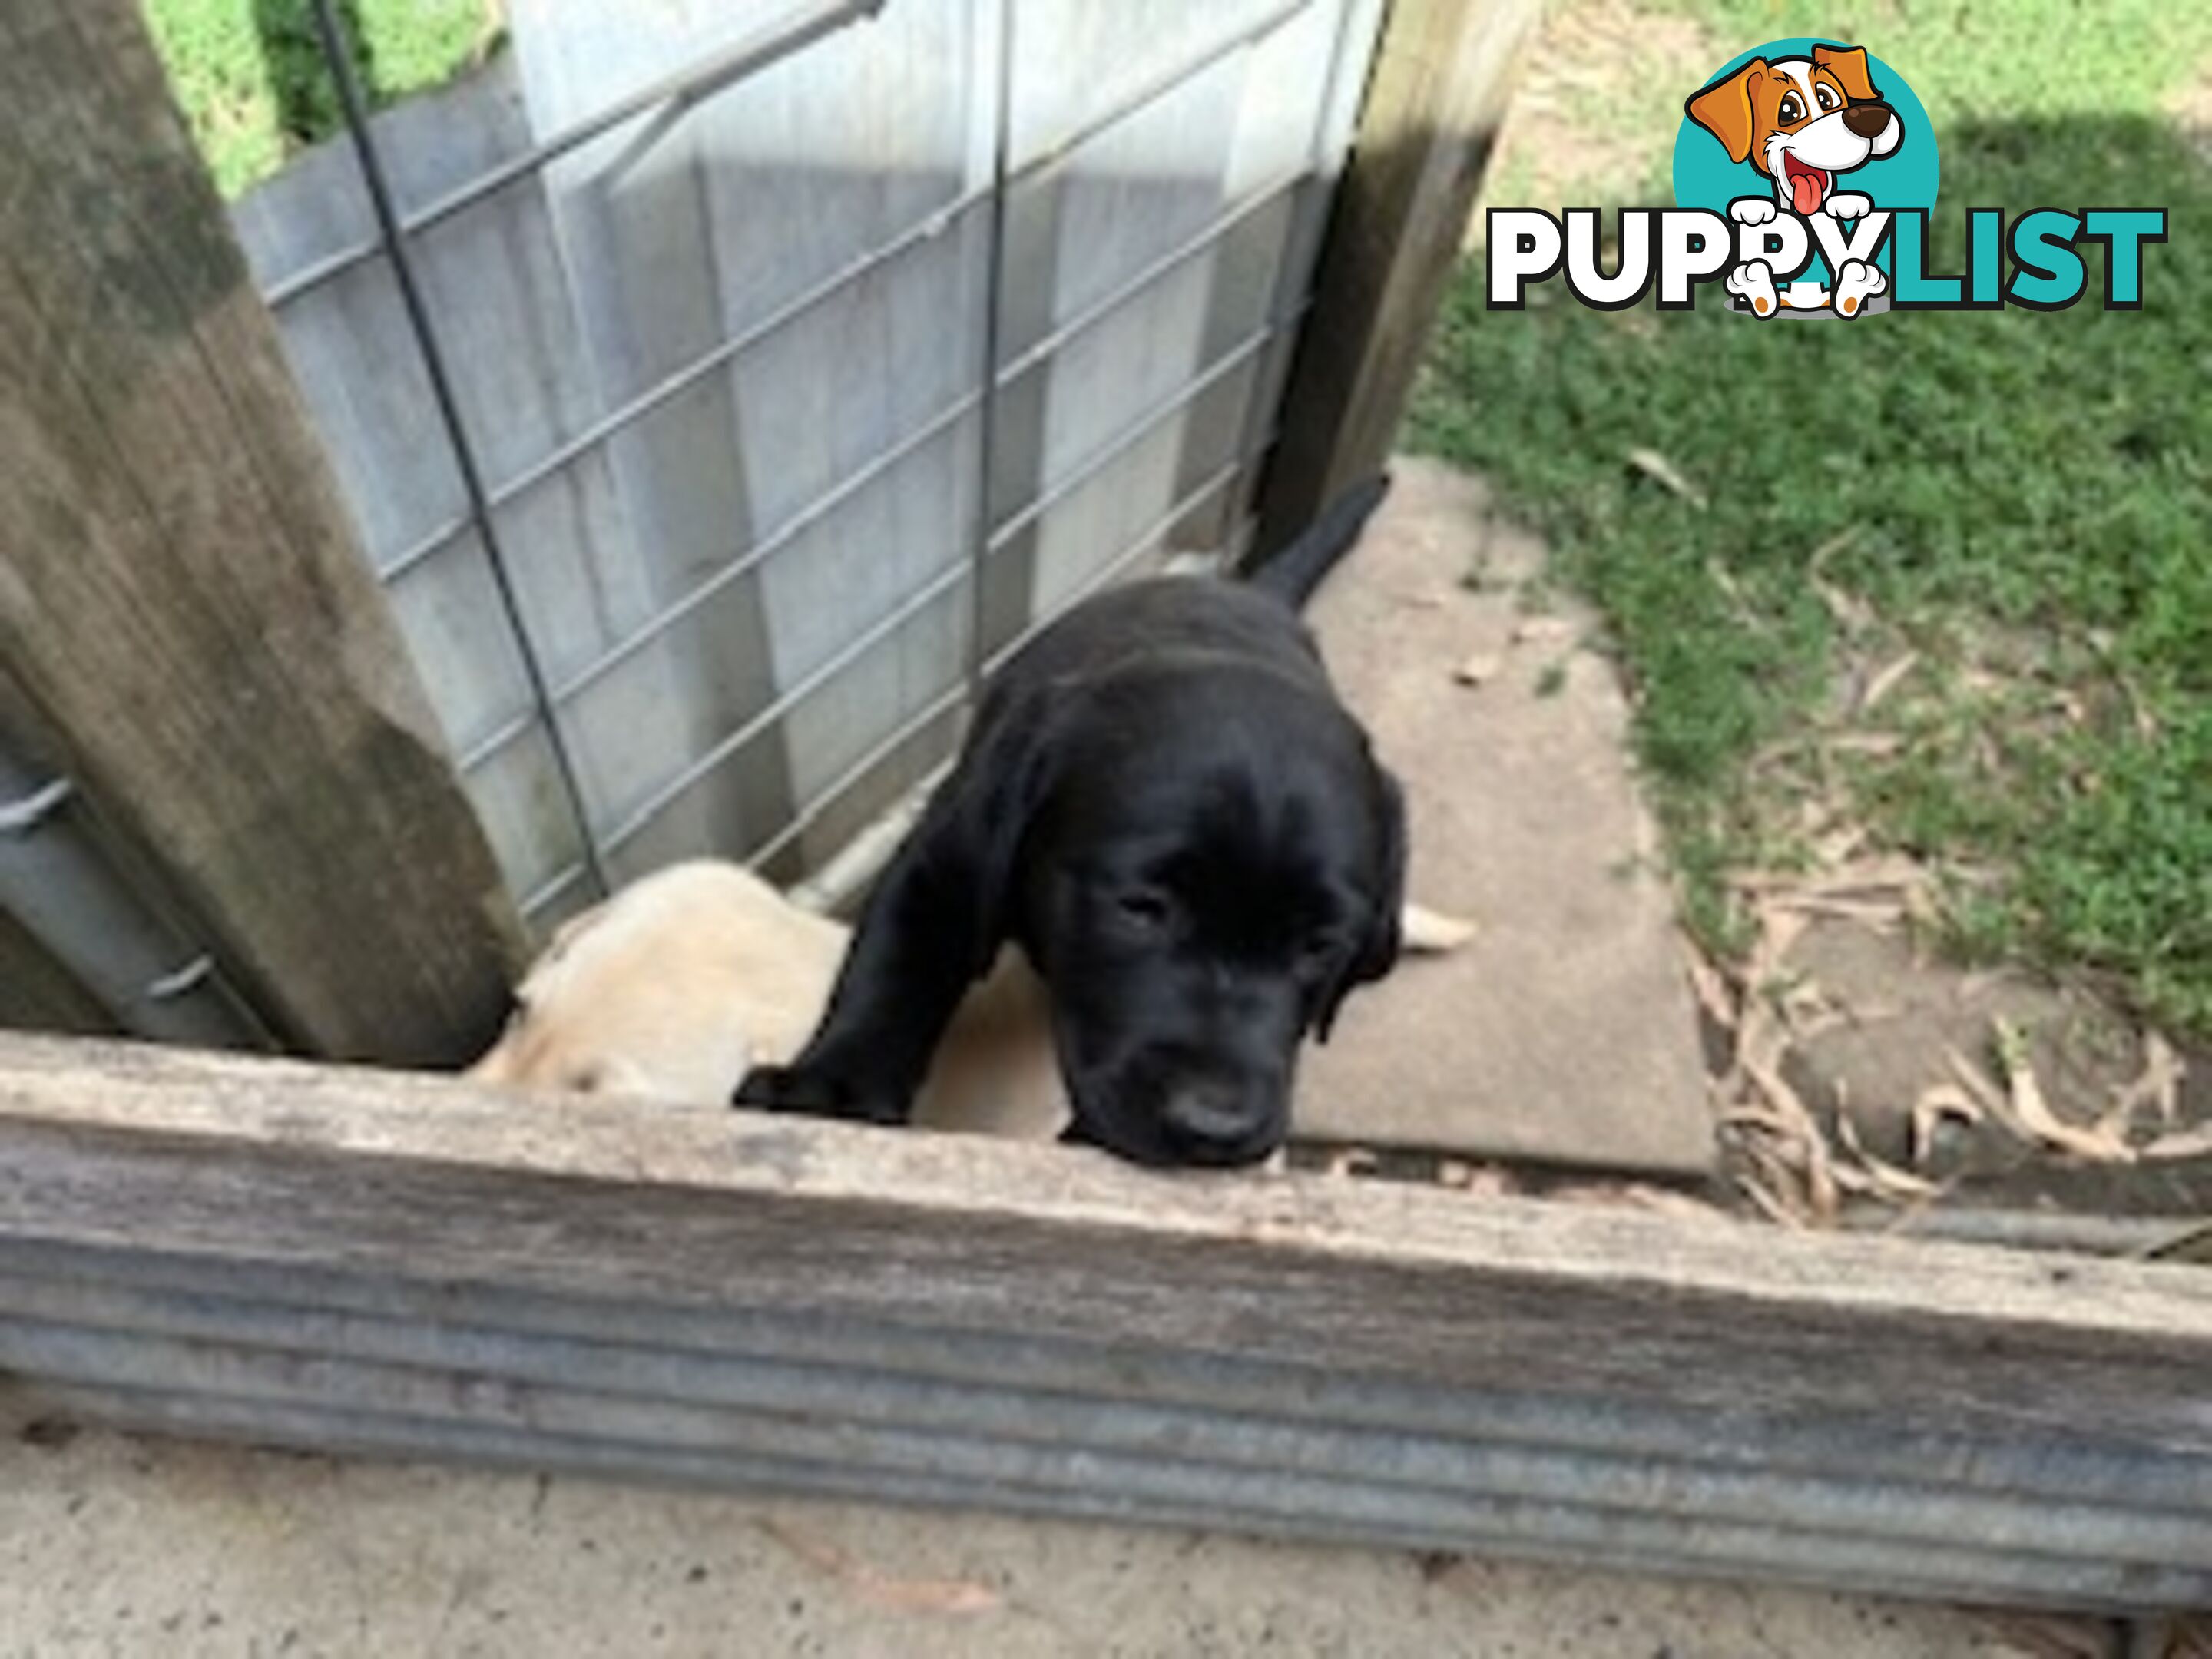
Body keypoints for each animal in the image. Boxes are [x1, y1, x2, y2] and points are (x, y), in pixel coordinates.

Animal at [738, 479, 1398, 1167]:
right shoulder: (945, 859)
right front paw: (829, 1089)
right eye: (1140, 907)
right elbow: (892, 964)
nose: (1215, 1129)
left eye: (1320, 944)